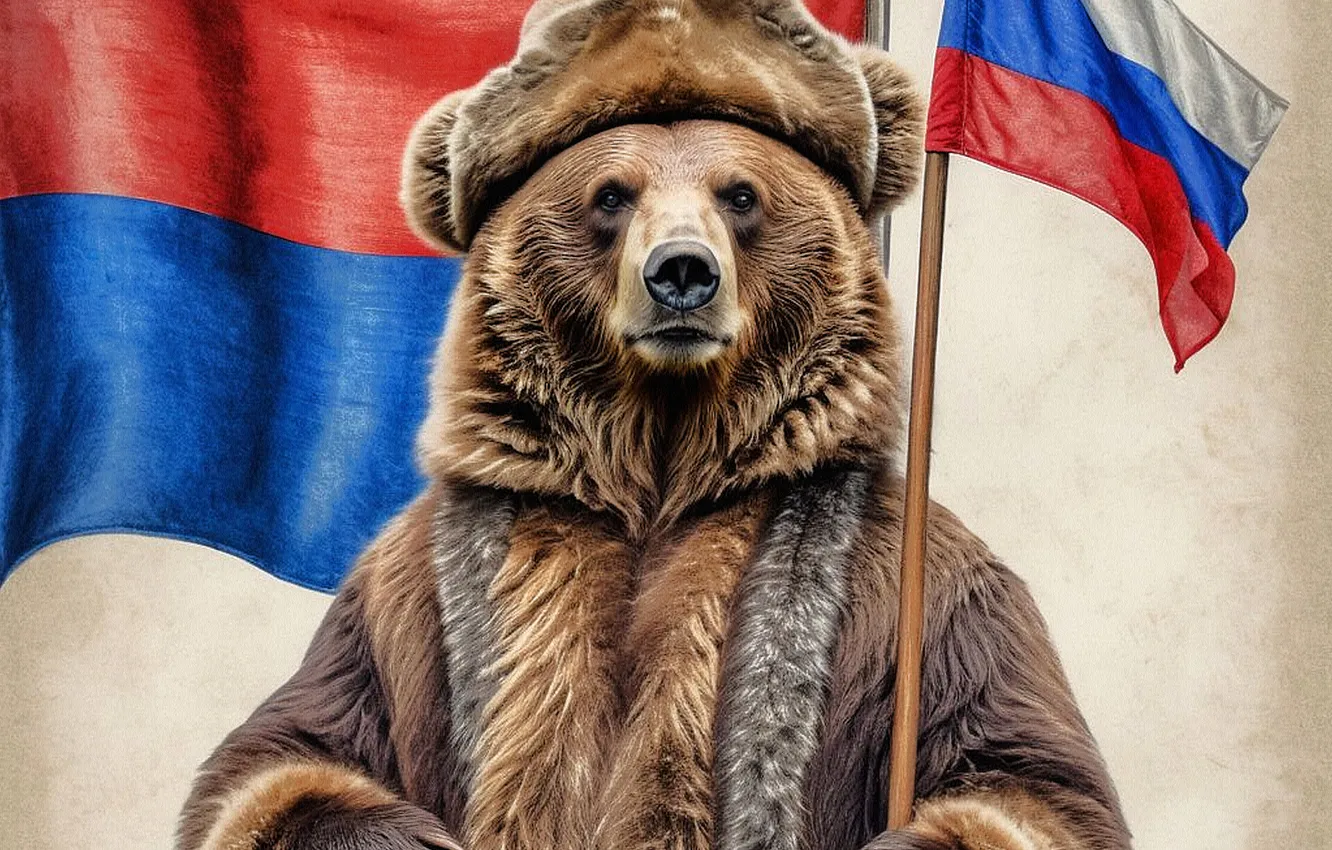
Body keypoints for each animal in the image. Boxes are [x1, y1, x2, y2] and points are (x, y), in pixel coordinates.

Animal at [178, 1, 1132, 849]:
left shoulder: (931, 578)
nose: (682, 272)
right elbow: (292, 747)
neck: (661, 457)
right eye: (611, 193)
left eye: (740, 193)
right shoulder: (397, 580)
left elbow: (1021, 771)